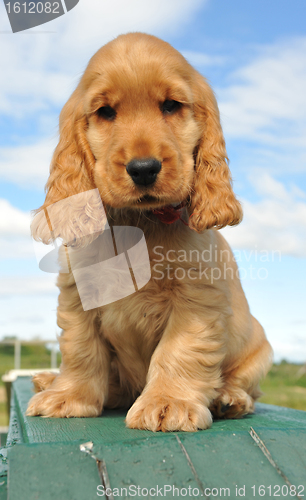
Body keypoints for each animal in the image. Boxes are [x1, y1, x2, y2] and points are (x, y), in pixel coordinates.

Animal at [26, 32, 272, 430]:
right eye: (105, 112)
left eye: (171, 106)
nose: (143, 168)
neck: (139, 223)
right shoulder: (78, 294)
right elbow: (80, 348)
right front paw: (69, 396)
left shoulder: (195, 297)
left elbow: (179, 350)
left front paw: (168, 403)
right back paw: (50, 379)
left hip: (260, 348)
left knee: (246, 387)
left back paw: (228, 398)